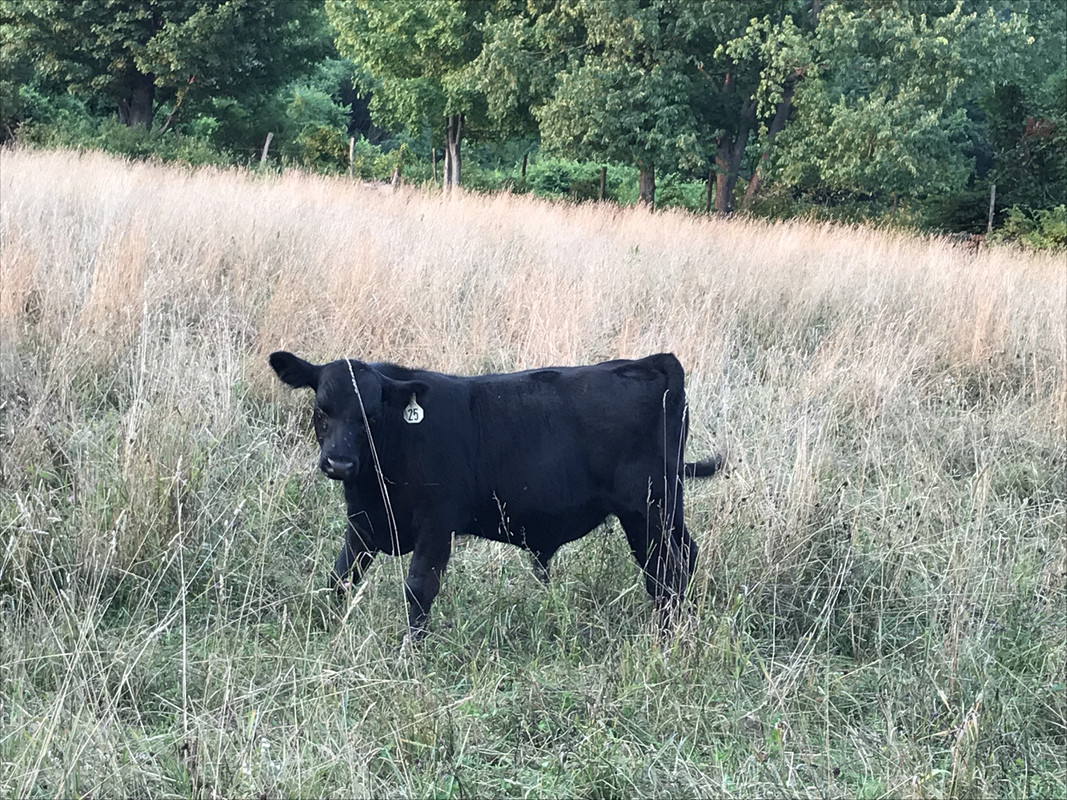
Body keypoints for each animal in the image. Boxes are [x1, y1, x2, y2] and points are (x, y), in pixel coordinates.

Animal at [269, 350, 724, 641]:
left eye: (372, 416)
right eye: (321, 410)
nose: (339, 463)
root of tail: (649, 362)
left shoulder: (437, 524)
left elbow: (418, 587)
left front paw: (411, 652)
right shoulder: (363, 523)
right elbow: (339, 578)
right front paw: (325, 629)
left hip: (648, 509)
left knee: (667, 570)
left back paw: (670, 635)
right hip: (663, 509)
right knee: (679, 559)